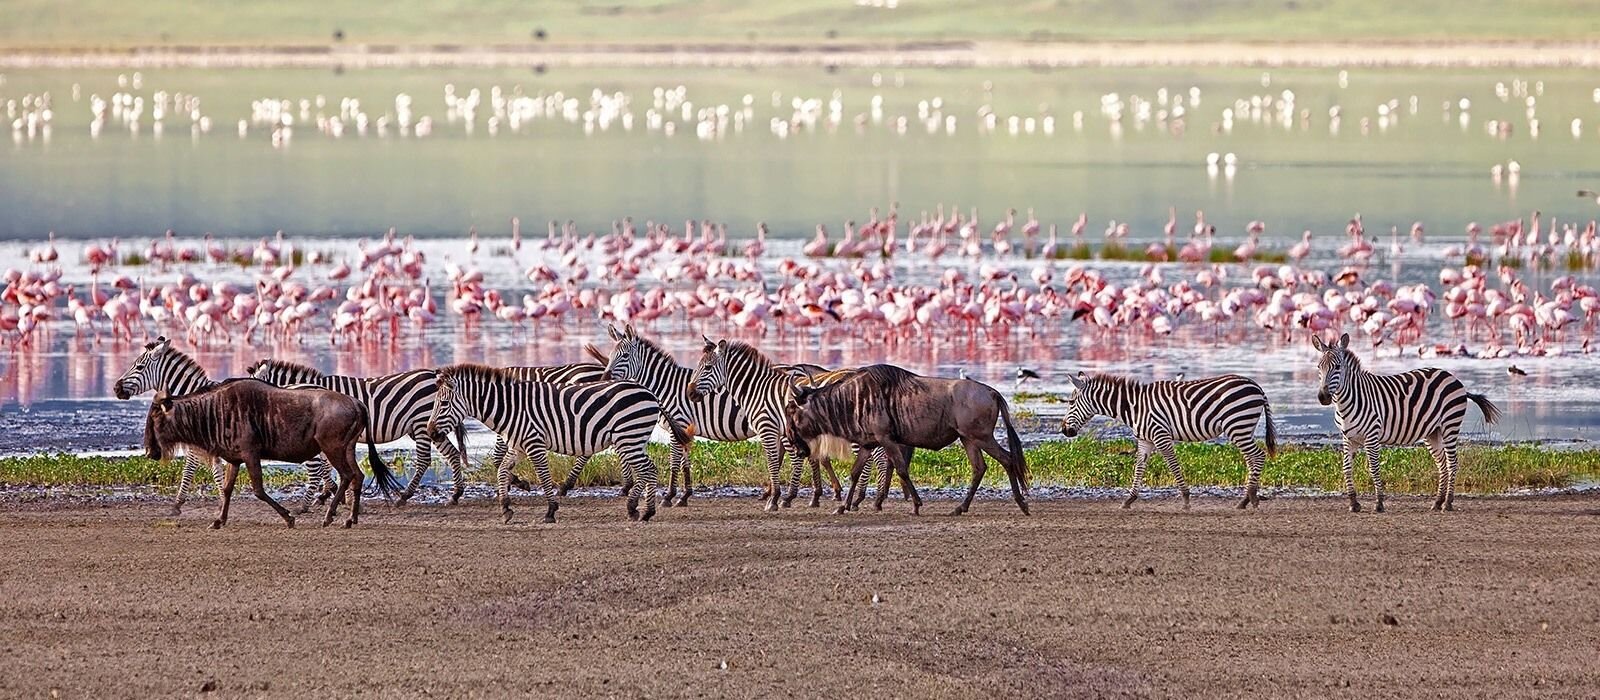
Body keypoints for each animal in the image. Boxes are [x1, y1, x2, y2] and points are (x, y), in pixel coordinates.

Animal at [113, 335, 334, 517]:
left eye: (139, 367)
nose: (116, 388)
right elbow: (214, 470)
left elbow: (192, 469)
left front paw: (183, 504)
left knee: (316, 468)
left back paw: (306, 506)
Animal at [246, 361, 467, 501]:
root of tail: (433, 374)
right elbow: (328, 465)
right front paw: (335, 492)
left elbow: (326, 466)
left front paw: (331, 493)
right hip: (430, 427)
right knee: (452, 453)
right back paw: (456, 493)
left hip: (422, 423)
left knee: (424, 460)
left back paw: (405, 496)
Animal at [419, 364, 675, 521]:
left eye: (443, 404)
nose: (430, 432)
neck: (511, 407)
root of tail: (650, 393)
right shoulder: (518, 446)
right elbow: (502, 471)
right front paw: (506, 507)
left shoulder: (534, 443)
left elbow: (543, 476)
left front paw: (550, 511)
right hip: (632, 439)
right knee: (646, 471)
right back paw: (636, 509)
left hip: (629, 437)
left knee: (649, 470)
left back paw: (645, 511)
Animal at [1056, 372, 1280, 508]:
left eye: (1071, 402)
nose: (1064, 430)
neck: (1134, 407)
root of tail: (1256, 386)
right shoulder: (1145, 440)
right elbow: (1139, 468)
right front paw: (1129, 500)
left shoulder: (1160, 436)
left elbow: (1173, 465)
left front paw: (1186, 500)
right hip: (1242, 428)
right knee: (1252, 459)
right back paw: (1245, 500)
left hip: (1237, 425)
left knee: (1257, 456)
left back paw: (1250, 499)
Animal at [1312, 330, 1497, 511]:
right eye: (1319, 367)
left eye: (1337, 367)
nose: (1323, 397)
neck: (1348, 401)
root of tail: (1452, 377)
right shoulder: (1348, 438)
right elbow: (1346, 468)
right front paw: (1353, 503)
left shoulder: (1372, 436)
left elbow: (1374, 468)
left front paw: (1379, 503)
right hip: (1432, 432)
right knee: (1442, 465)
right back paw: (1438, 502)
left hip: (1450, 425)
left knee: (1452, 463)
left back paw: (1448, 503)